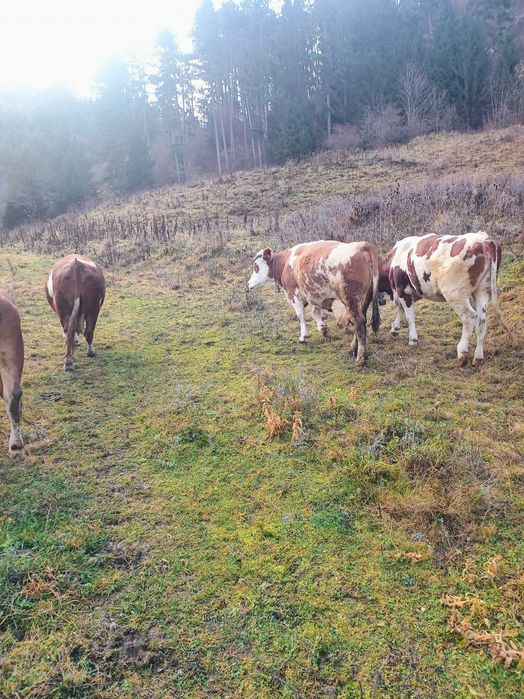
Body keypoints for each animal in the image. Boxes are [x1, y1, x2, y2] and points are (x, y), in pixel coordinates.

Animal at [247, 240, 380, 365]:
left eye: (256, 267)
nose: (248, 283)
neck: (286, 263)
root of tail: (362, 246)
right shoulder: (315, 295)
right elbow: (315, 312)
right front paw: (323, 328)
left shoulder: (294, 294)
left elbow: (300, 316)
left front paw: (303, 336)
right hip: (363, 300)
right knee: (360, 320)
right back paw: (353, 349)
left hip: (351, 299)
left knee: (359, 322)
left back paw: (360, 358)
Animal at [379, 231, 511, 366]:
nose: (382, 301)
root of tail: (485, 240)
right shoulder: (404, 292)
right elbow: (400, 308)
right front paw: (395, 329)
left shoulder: (403, 289)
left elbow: (409, 315)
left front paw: (413, 339)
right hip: (482, 290)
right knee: (482, 320)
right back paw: (478, 357)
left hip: (455, 293)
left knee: (469, 317)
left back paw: (462, 352)